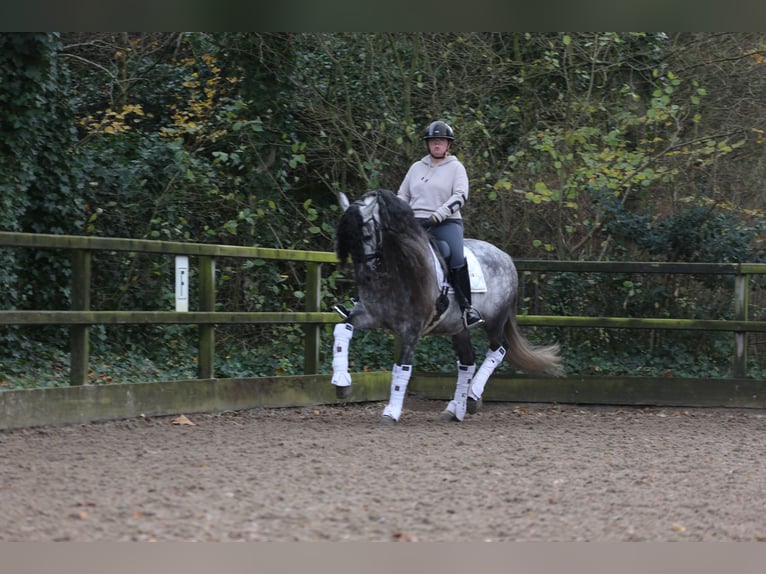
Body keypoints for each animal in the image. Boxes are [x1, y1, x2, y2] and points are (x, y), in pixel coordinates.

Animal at [330, 189, 564, 424]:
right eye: (348, 239)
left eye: (367, 236)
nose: (365, 276)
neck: (399, 268)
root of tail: (505, 257)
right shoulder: (370, 315)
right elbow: (342, 328)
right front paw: (341, 383)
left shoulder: (412, 328)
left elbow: (402, 368)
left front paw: (391, 412)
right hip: (458, 328)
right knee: (467, 362)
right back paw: (455, 409)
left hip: (494, 321)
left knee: (499, 349)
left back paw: (472, 397)